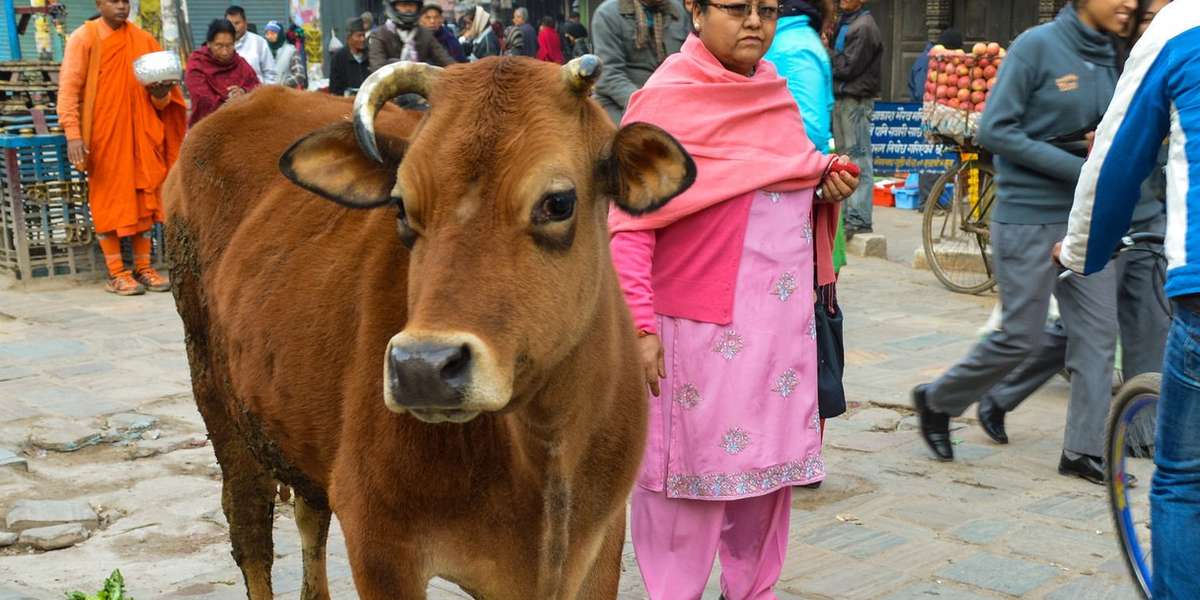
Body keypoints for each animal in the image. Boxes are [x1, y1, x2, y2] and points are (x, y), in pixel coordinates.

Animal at [164, 55, 694, 600]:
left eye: (558, 203)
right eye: (400, 205)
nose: (422, 368)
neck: (543, 445)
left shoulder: (601, 540)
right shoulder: (379, 543)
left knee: (310, 511)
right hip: (215, 394)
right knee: (249, 526)